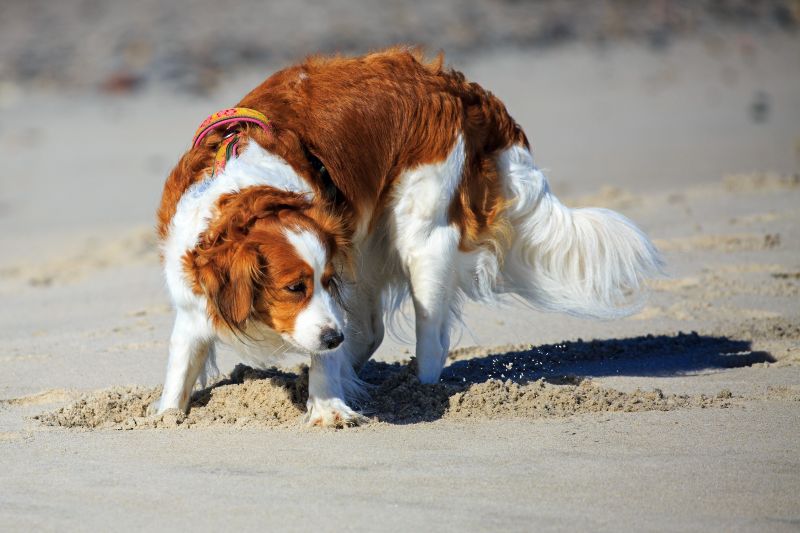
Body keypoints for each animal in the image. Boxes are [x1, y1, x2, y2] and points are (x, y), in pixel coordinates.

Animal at [150, 47, 664, 426]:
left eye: (323, 282)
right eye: (294, 287)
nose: (333, 337)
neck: (249, 191)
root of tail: (457, 87)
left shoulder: (339, 282)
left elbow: (327, 357)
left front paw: (329, 406)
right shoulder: (194, 299)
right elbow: (182, 363)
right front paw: (166, 415)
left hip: (423, 240)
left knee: (430, 343)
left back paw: (416, 392)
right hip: (368, 246)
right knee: (371, 330)